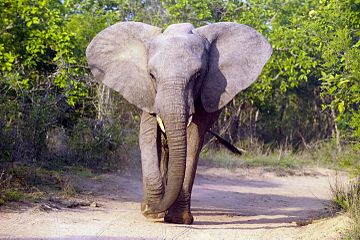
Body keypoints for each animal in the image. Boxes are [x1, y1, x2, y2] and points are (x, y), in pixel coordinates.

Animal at [87, 21, 272, 224]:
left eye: (198, 75)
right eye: (151, 75)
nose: (148, 209)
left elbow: (192, 142)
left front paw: (177, 219)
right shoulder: (148, 94)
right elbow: (148, 137)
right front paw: (152, 212)